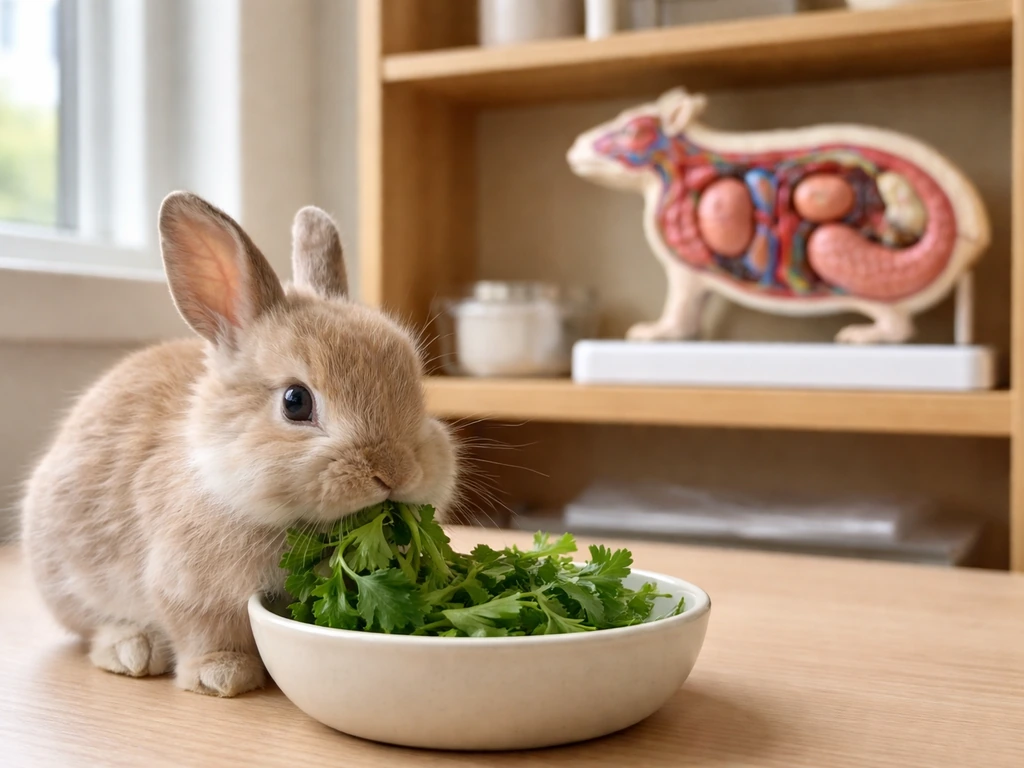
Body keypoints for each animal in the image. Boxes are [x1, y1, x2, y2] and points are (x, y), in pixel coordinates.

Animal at [20, 191, 458, 697]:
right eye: (295, 402)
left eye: (417, 390)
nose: (395, 472)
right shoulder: (187, 589)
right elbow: (204, 630)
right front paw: (223, 677)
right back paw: (131, 650)